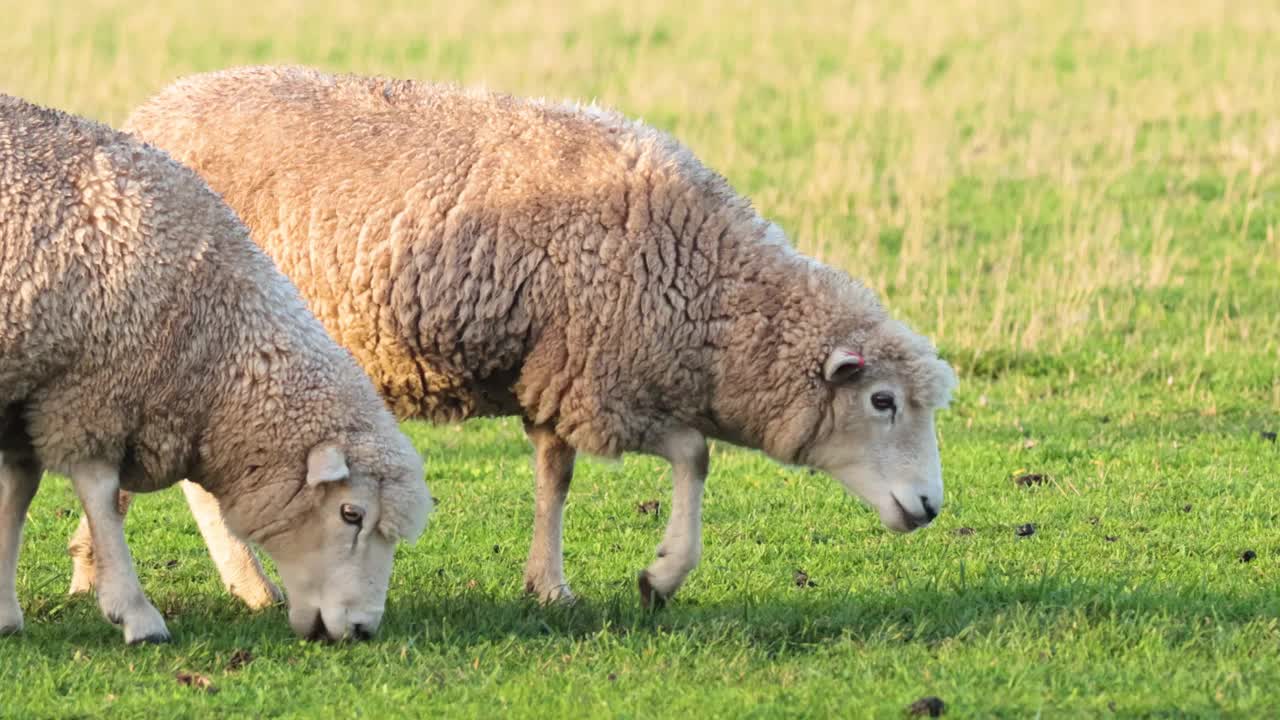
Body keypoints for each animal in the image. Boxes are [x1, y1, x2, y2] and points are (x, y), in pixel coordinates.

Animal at [0, 92, 435, 640]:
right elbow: (98, 494)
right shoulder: (90, 388)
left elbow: (17, 494)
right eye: (351, 513)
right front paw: (135, 612)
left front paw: (4, 612)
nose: (362, 630)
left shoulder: (34, 388)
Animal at [80, 65, 957, 604]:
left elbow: (554, 478)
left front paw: (549, 585)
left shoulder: (558, 371)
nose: (930, 508)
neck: (708, 292)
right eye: (882, 401)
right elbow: (695, 455)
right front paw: (661, 575)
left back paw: (106, 573)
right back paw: (236, 584)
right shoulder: (604, 377)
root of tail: (151, 112)